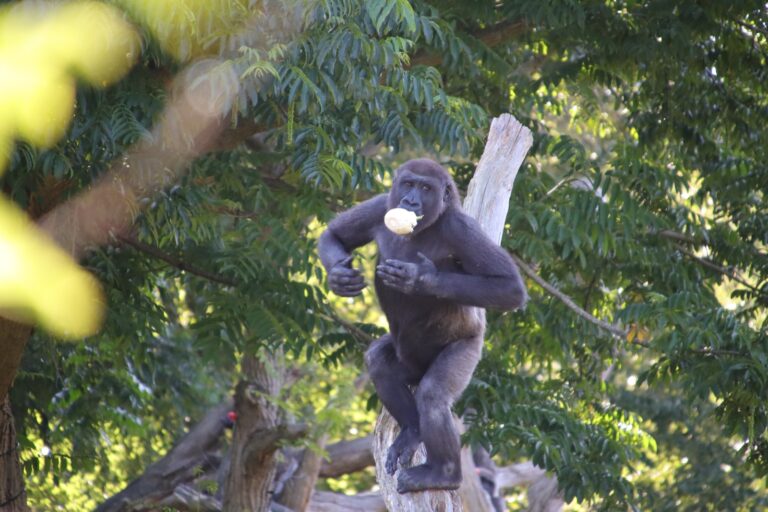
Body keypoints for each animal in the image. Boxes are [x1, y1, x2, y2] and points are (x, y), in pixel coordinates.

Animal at [318, 159, 528, 492]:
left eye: (426, 188)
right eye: (408, 184)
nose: (410, 202)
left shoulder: (461, 227)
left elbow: (509, 288)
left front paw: (421, 280)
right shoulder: (382, 204)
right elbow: (334, 234)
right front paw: (339, 277)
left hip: (469, 349)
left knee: (431, 395)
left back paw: (444, 475)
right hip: (410, 365)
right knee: (380, 363)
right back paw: (412, 430)